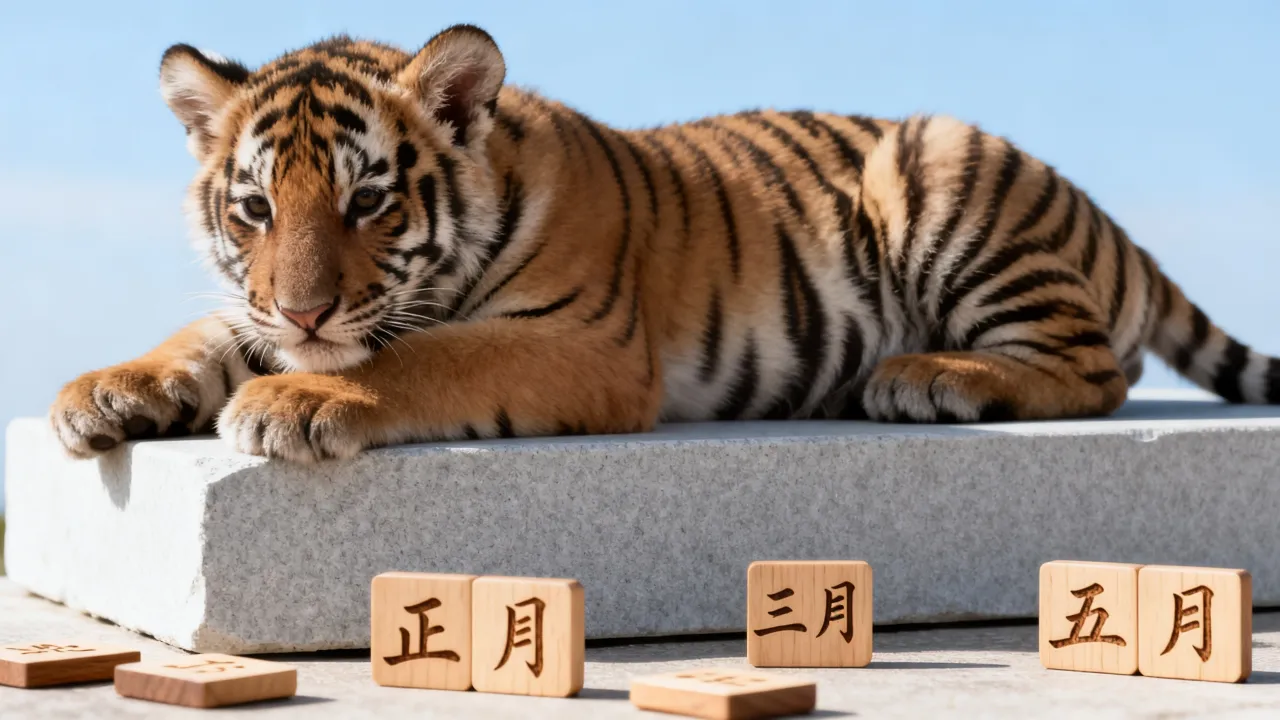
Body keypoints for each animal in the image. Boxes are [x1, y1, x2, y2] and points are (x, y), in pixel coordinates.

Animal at [50, 24, 1280, 464]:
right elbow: (206, 333)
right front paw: (105, 391)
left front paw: (297, 399)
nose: (303, 312)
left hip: (938, 163)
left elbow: (421, 356)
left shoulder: (581, 341)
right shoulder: (258, 303)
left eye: (368, 202)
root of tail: (1106, 223)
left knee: (1094, 370)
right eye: (255, 209)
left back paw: (928, 377)